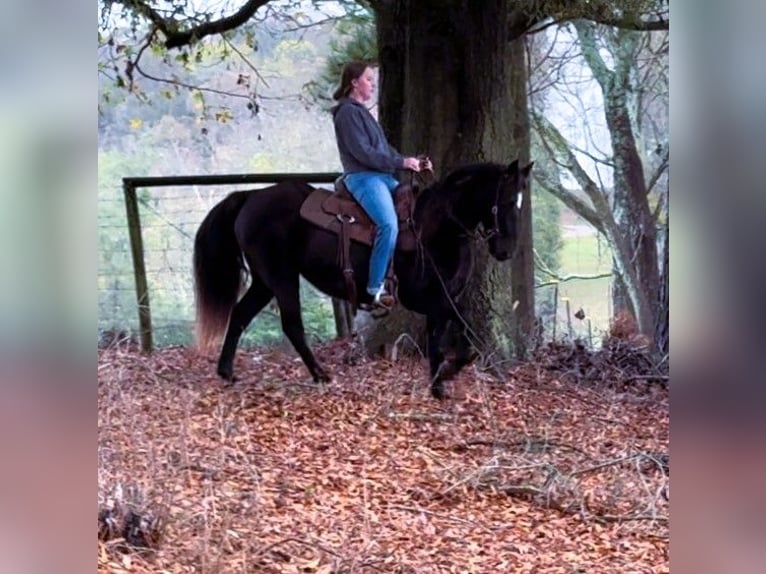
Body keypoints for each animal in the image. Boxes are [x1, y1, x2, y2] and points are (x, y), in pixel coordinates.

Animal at [194, 159, 536, 400]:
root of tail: (250, 196)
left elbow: (439, 339)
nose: (505, 251)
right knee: (291, 324)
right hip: (282, 276)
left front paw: (437, 385)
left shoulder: (442, 299)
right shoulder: (432, 299)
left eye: (521, 202)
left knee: (240, 314)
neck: (438, 229)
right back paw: (320, 375)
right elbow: (466, 333)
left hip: (264, 281)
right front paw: (448, 374)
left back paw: (226, 372)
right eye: (507, 201)